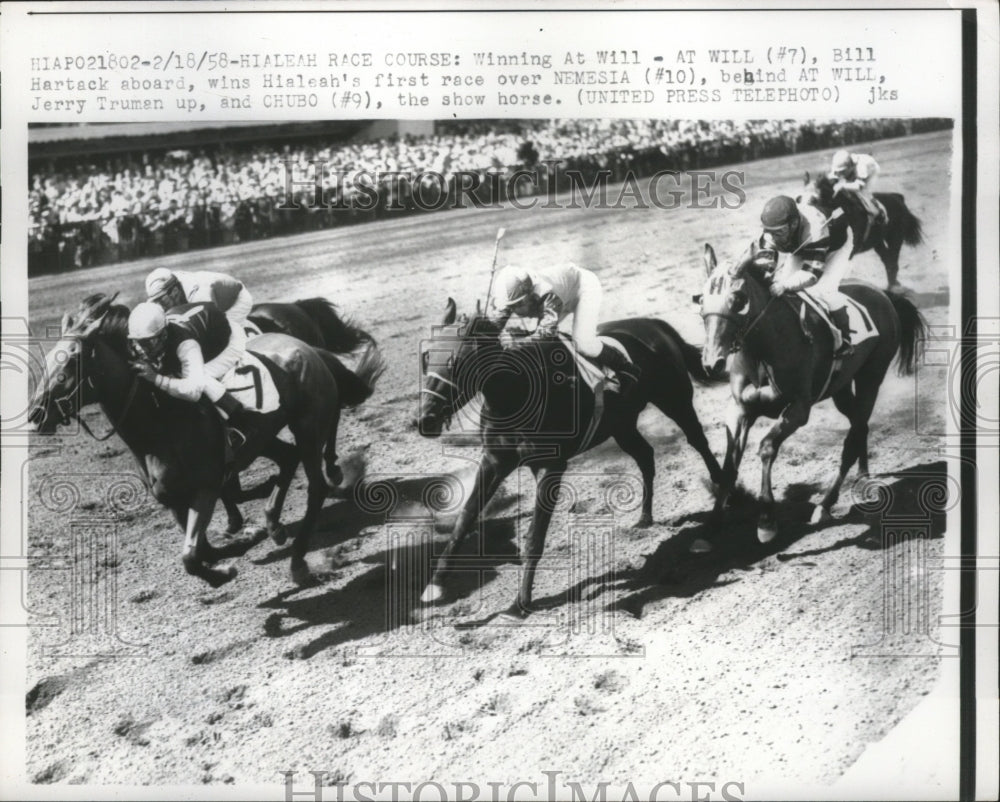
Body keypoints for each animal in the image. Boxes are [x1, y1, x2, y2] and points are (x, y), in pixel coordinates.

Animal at [27, 294, 386, 588]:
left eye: (72, 359)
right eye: (49, 357)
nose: (35, 413)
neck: (160, 425)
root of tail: (307, 348)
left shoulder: (206, 488)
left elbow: (191, 556)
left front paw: (226, 565)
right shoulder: (172, 500)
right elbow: (199, 551)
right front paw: (235, 545)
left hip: (308, 426)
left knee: (316, 484)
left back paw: (299, 558)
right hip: (264, 437)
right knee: (288, 458)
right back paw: (273, 523)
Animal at [418, 296, 724, 616]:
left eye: (457, 362)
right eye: (427, 356)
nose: (426, 419)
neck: (516, 393)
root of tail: (654, 324)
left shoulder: (550, 467)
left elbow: (534, 537)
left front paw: (520, 601)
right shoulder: (494, 461)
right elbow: (464, 520)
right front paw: (435, 586)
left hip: (675, 400)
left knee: (698, 441)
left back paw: (720, 495)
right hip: (622, 425)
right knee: (645, 456)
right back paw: (644, 517)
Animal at [700, 244, 924, 544]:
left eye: (737, 299)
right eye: (701, 300)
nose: (712, 362)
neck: (763, 351)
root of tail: (883, 294)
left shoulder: (798, 409)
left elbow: (767, 448)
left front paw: (767, 521)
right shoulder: (740, 410)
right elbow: (728, 465)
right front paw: (710, 527)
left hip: (871, 376)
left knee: (852, 438)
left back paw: (826, 504)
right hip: (841, 388)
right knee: (860, 426)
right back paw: (863, 476)